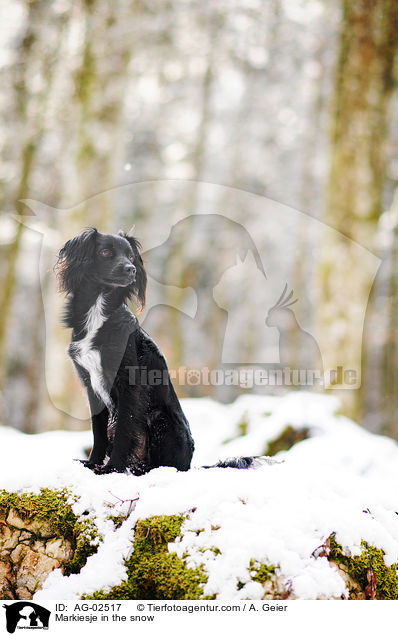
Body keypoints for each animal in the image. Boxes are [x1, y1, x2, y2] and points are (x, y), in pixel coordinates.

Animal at [54, 227, 264, 472]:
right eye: (105, 252)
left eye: (130, 256)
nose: (131, 269)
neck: (98, 312)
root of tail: (190, 464)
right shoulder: (90, 385)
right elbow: (98, 431)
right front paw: (92, 464)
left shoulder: (129, 385)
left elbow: (125, 428)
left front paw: (112, 468)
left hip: (160, 418)